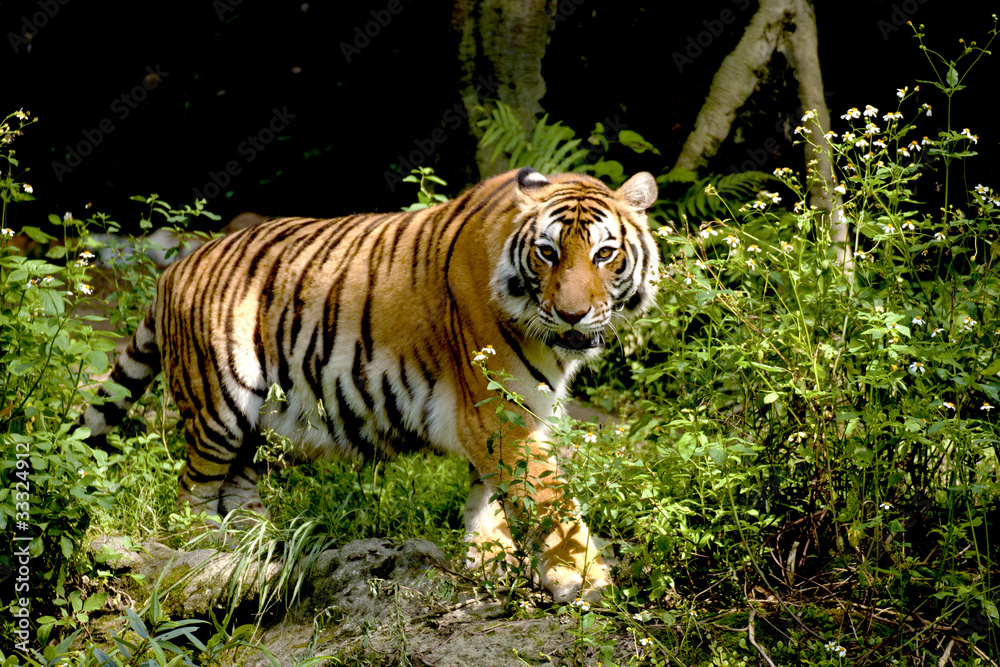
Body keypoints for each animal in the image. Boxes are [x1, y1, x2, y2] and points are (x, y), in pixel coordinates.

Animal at [81, 166, 660, 602]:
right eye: (547, 252)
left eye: (604, 254)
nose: (572, 315)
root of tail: (174, 269)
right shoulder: (499, 411)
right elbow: (550, 503)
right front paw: (581, 580)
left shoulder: (508, 416)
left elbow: (491, 499)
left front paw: (487, 564)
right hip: (220, 401)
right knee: (192, 489)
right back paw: (211, 550)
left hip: (256, 421)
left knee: (238, 483)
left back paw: (261, 545)